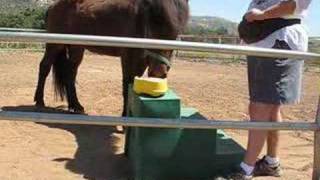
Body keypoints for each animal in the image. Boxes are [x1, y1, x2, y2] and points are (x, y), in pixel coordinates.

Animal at [33, 0, 189, 115]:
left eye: (177, 30)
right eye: (153, 23)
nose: (158, 72)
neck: (139, 17)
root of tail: (52, 6)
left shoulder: (143, 60)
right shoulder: (127, 56)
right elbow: (127, 84)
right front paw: (125, 118)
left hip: (77, 48)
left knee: (70, 73)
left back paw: (76, 106)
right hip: (55, 45)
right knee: (45, 66)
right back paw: (40, 101)